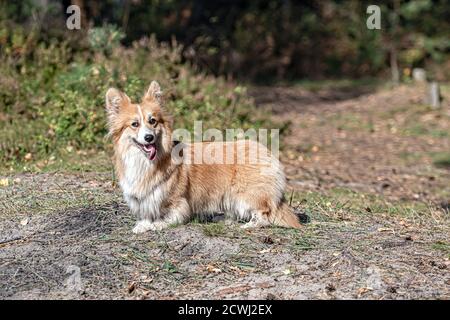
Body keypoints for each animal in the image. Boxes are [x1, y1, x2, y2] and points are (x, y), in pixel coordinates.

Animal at [105, 81, 300, 234]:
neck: (145, 161)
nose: (149, 138)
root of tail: (267, 152)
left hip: (246, 194)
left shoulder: (178, 204)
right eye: (134, 124)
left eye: (152, 121)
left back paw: (248, 225)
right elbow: (146, 214)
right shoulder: (145, 200)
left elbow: (167, 218)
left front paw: (154, 225)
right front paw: (143, 224)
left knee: (264, 214)